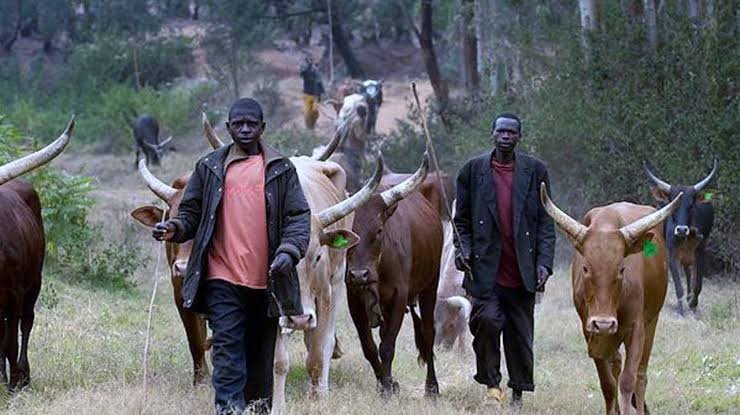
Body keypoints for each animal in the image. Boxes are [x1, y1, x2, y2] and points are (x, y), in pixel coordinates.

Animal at [0, 118, 74, 392]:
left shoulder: (14, 295)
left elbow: (10, 342)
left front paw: (14, 384)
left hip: (34, 285)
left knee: (26, 324)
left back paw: (23, 376)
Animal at [346, 155, 442, 400]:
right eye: (349, 232)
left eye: (379, 230)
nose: (359, 275)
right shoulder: (354, 299)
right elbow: (370, 348)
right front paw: (386, 383)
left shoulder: (399, 297)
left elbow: (387, 346)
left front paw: (388, 389)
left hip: (430, 286)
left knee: (428, 333)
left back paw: (432, 387)